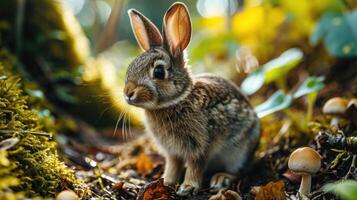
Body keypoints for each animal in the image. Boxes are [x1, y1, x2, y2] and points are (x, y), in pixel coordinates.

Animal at [124, 1, 260, 195]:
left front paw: (188, 187)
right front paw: (167, 181)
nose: (128, 93)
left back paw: (221, 178)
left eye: (159, 72)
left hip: (239, 150)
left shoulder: (199, 146)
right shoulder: (172, 151)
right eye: (130, 67)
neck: (179, 99)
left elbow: (196, 165)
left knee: (240, 170)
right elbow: (173, 165)